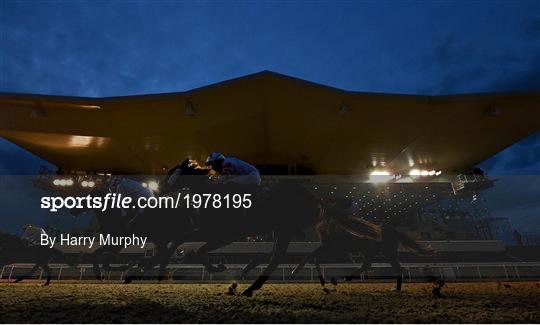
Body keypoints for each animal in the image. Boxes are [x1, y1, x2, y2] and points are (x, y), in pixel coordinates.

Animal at [167, 158, 322, 294]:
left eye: (173, 171)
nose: (164, 187)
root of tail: (313, 199)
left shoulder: (225, 236)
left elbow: (198, 250)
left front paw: (217, 268)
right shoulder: (209, 231)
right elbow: (182, 241)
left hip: (286, 229)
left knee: (276, 258)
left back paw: (250, 288)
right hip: (280, 230)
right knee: (272, 254)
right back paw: (246, 272)